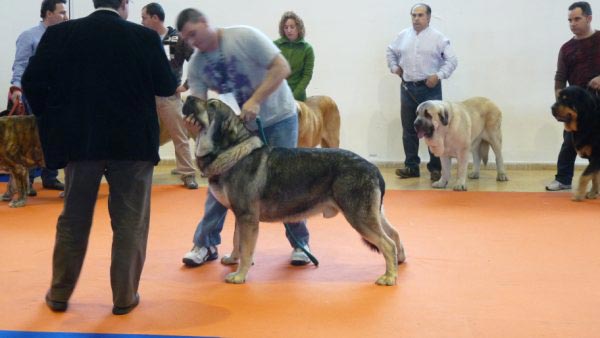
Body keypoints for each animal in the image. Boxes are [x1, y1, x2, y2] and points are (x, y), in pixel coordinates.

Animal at [184, 97, 408, 286]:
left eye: (211, 105)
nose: (188, 97)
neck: (230, 151)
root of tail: (373, 168)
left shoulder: (248, 217)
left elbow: (246, 250)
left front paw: (240, 275)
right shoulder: (240, 217)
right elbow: (236, 241)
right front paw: (233, 259)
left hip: (359, 217)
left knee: (387, 244)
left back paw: (389, 277)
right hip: (373, 214)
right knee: (395, 234)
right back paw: (399, 262)